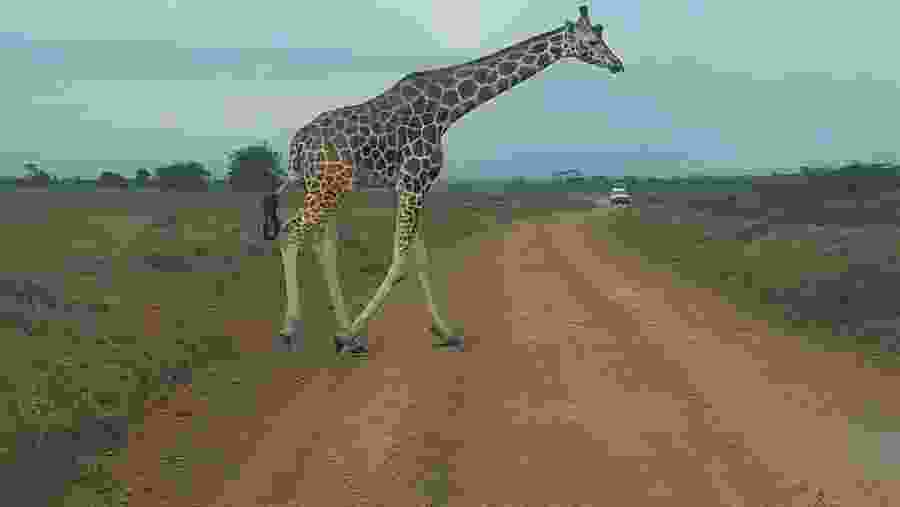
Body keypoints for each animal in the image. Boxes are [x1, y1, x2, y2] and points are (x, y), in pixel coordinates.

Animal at [269, 4, 624, 354]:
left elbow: (421, 260)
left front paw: (444, 332)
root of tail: (296, 147)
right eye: (591, 41)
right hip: (325, 187)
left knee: (323, 247)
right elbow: (400, 260)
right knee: (291, 232)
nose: (617, 64)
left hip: (329, 188)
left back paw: (341, 333)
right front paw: (350, 334)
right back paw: (292, 331)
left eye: (601, 34)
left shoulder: (417, 185)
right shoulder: (412, 181)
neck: (448, 110)